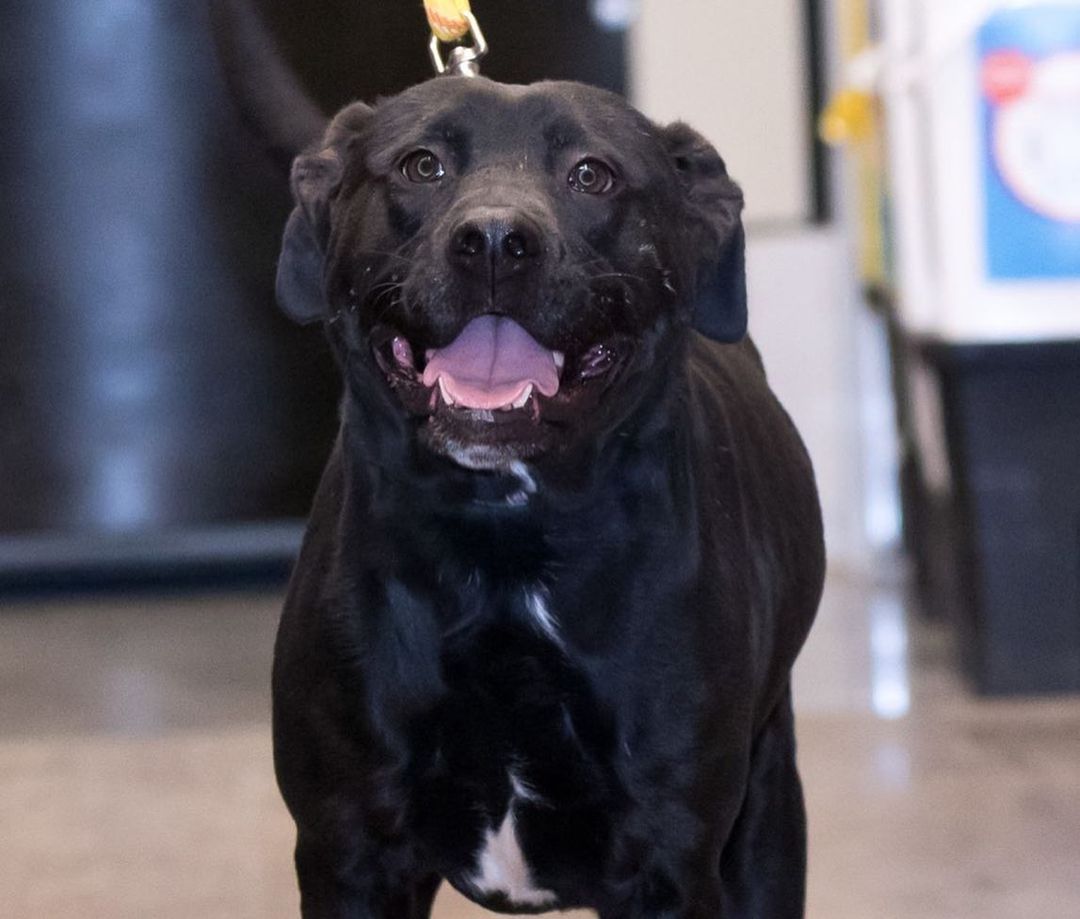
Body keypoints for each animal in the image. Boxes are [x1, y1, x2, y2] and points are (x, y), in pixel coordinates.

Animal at [217, 5, 825, 911]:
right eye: (422, 165)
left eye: (592, 175)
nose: (496, 239)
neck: (501, 543)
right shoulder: (349, 849)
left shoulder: (669, 860)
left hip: (768, 816)